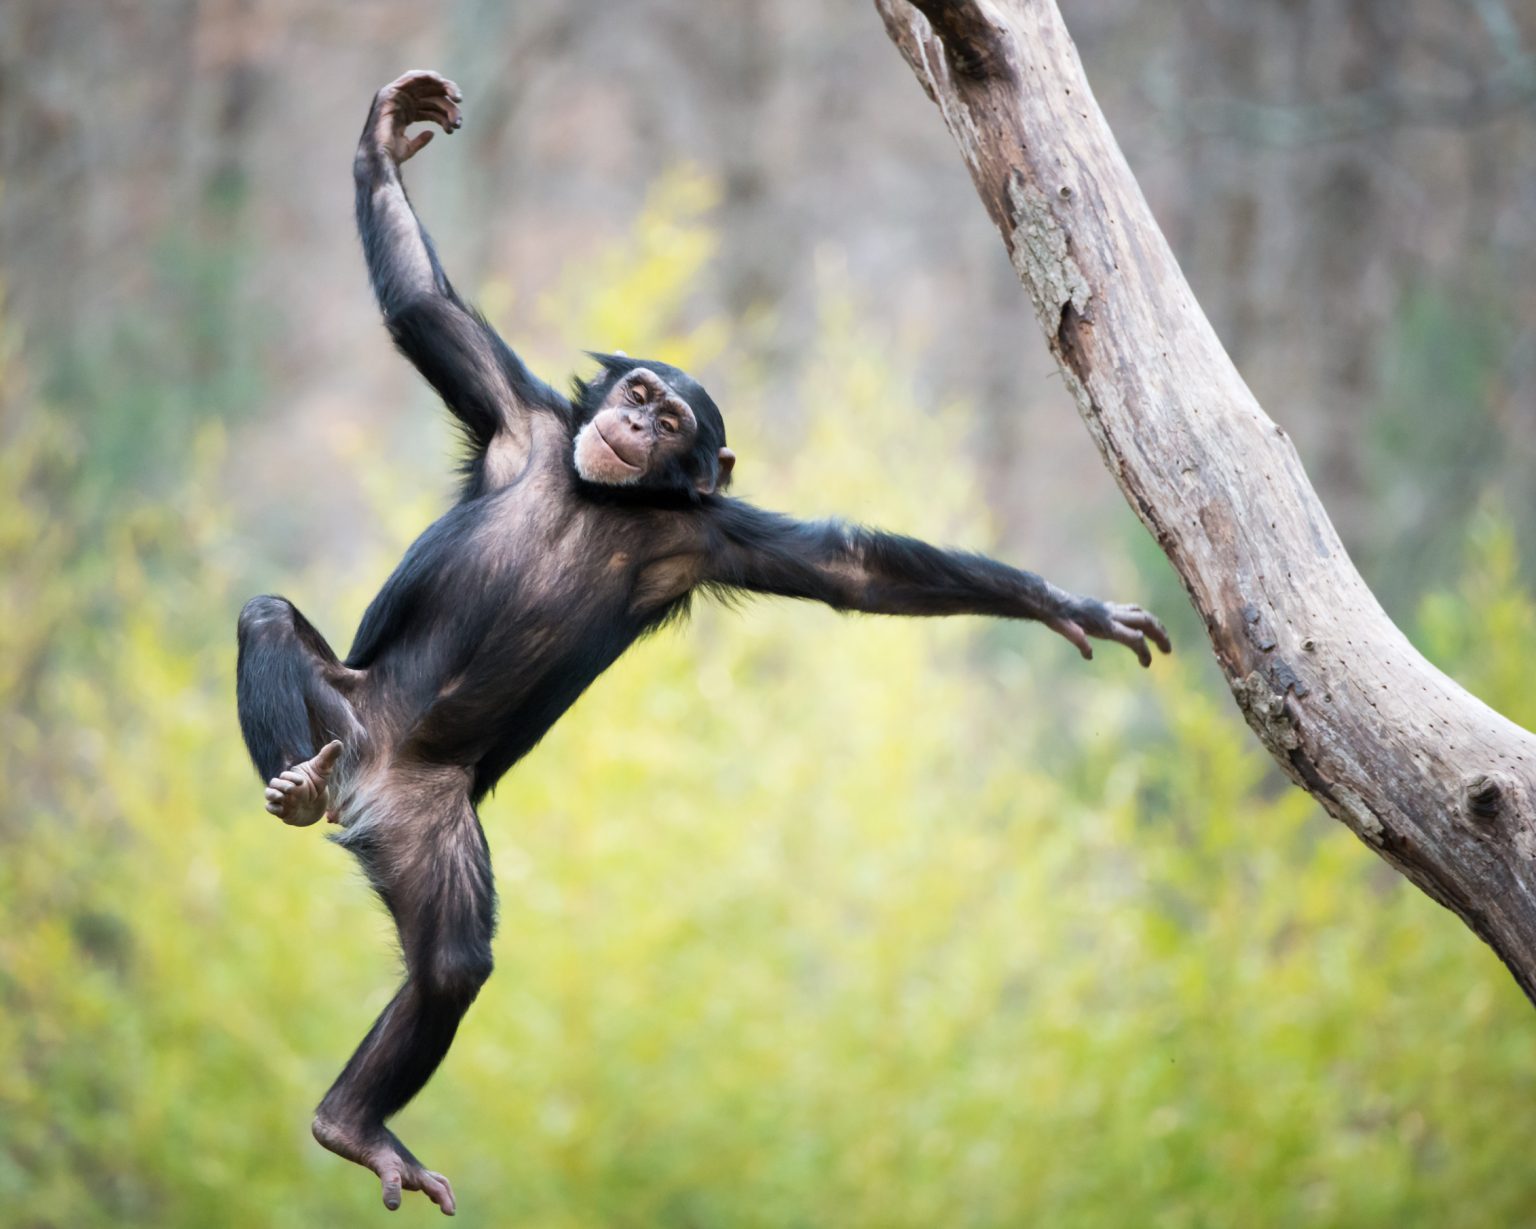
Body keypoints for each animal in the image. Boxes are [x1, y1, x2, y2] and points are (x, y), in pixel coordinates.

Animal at [236, 72, 1161, 1216]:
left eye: (673, 419)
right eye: (637, 393)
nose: (637, 421)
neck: (602, 495)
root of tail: (365, 785)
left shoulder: (710, 536)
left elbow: (855, 567)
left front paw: (1063, 603)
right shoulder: (514, 417)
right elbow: (421, 309)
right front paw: (385, 136)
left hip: (428, 822)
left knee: (450, 962)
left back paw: (351, 1120)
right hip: (344, 717)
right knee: (266, 620)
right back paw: (293, 790)